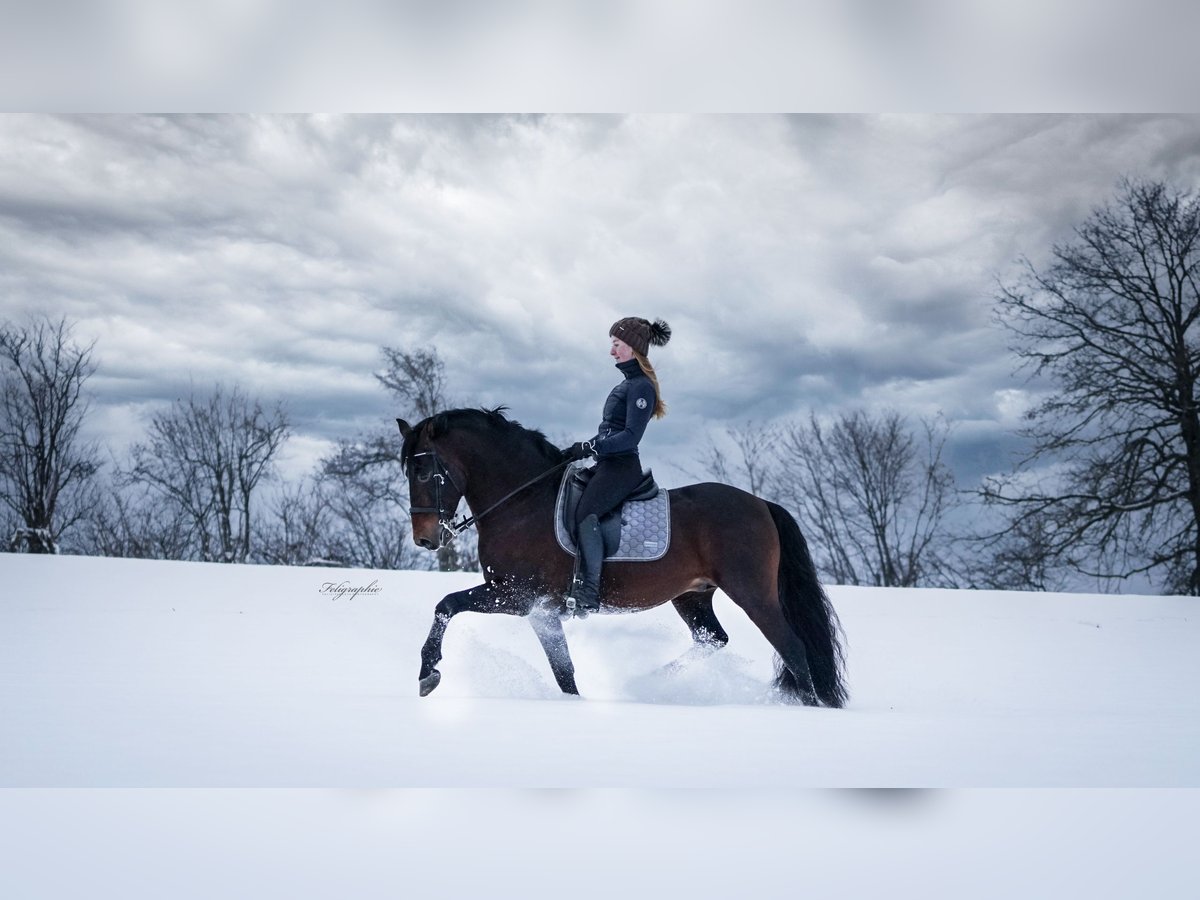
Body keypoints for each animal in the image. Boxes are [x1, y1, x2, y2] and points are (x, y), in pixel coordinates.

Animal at [393, 408, 844, 710]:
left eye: (423, 473)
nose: (425, 539)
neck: (521, 501)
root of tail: (762, 504)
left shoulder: (519, 595)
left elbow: (446, 605)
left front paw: (428, 675)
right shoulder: (540, 611)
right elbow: (563, 671)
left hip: (751, 592)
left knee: (793, 648)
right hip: (693, 596)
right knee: (713, 639)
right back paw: (652, 682)